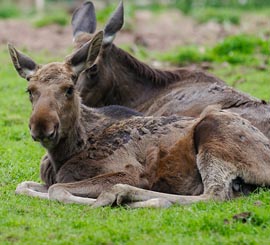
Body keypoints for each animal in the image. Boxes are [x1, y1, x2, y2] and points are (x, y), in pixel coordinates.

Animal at [8, 31, 270, 209]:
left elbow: (57, 189)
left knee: (214, 194)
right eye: (30, 90)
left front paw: (102, 199)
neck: (64, 154)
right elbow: (23, 186)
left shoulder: (130, 172)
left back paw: (123, 195)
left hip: (213, 130)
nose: (42, 127)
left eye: (69, 89)